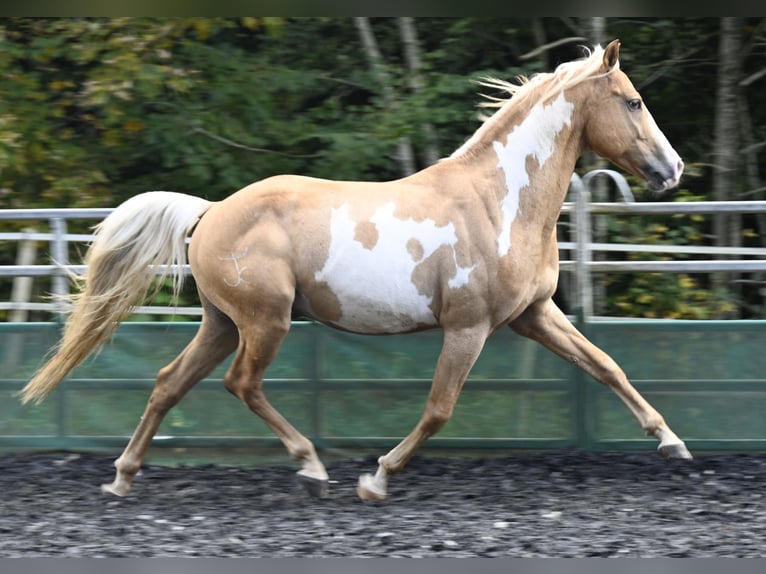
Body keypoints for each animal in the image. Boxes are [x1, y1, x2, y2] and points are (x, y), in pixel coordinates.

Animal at [19, 38, 688, 502]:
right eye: (633, 101)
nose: (674, 169)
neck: (498, 201)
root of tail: (210, 212)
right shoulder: (468, 328)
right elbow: (439, 410)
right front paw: (377, 480)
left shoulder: (533, 315)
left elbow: (606, 366)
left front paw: (672, 443)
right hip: (265, 322)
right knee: (242, 384)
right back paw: (312, 467)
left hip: (222, 323)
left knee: (167, 382)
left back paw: (121, 478)